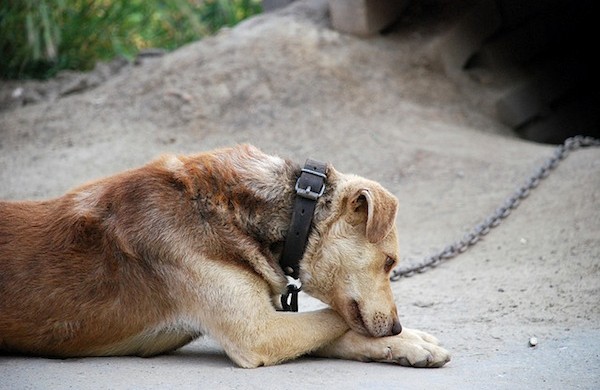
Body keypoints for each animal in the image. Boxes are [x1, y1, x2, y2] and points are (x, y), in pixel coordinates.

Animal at [0, 145, 450, 368]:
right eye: (389, 263)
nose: (395, 326)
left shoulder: (267, 325)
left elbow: (341, 332)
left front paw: (406, 345)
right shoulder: (257, 333)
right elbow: (334, 318)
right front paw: (407, 340)